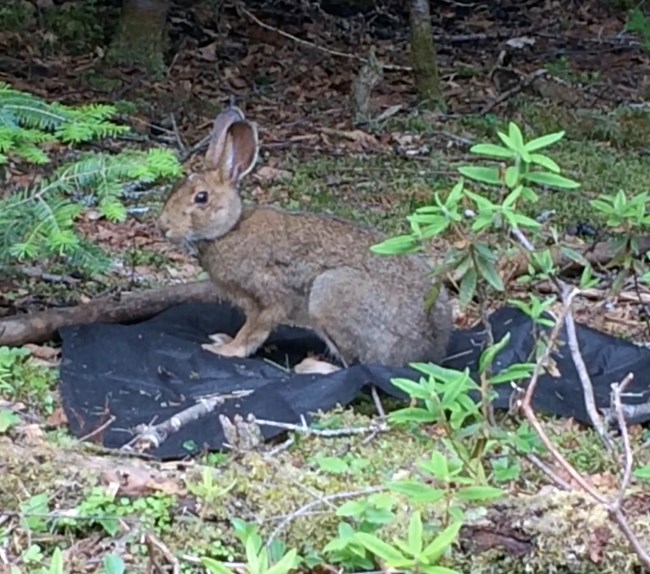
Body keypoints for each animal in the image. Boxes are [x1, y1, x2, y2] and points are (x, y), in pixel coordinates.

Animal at [157, 106, 453, 374]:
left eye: (201, 198)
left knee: (361, 365)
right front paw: (223, 339)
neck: (229, 230)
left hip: (329, 293)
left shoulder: (267, 297)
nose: (163, 227)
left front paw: (226, 349)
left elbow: (253, 331)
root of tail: (430, 351)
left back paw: (312, 367)